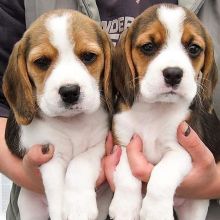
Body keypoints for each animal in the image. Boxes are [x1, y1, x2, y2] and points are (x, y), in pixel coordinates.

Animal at [3, 9, 112, 220]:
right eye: (42, 62)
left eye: (88, 56)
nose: (69, 91)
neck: (73, 123)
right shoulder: (49, 154)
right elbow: (57, 187)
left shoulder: (100, 143)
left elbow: (80, 163)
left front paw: (78, 205)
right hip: (29, 206)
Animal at [109, 3, 220, 220]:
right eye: (148, 47)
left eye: (194, 49)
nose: (173, 74)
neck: (154, 108)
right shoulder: (124, 145)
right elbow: (126, 173)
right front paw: (125, 207)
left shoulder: (182, 152)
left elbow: (162, 173)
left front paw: (155, 211)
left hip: (195, 207)